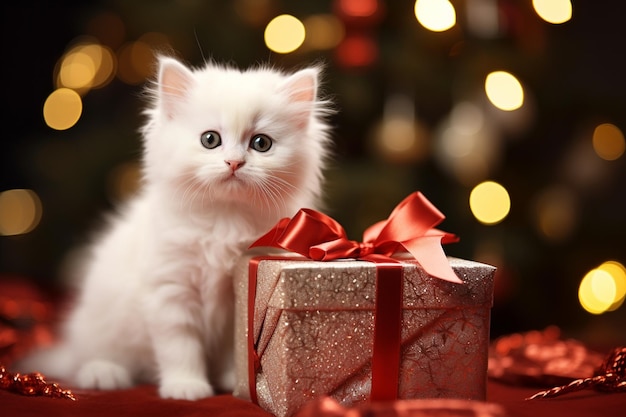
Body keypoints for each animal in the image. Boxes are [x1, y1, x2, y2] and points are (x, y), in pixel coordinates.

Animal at [19, 56, 332, 400]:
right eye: (210, 140)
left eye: (261, 144)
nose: (234, 163)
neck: (224, 219)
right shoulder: (170, 288)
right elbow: (179, 346)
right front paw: (186, 387)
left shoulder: (236, 296)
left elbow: (232, 346)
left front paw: (231, 379)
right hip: (102, 321)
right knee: (92, 357)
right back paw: (104, 374)